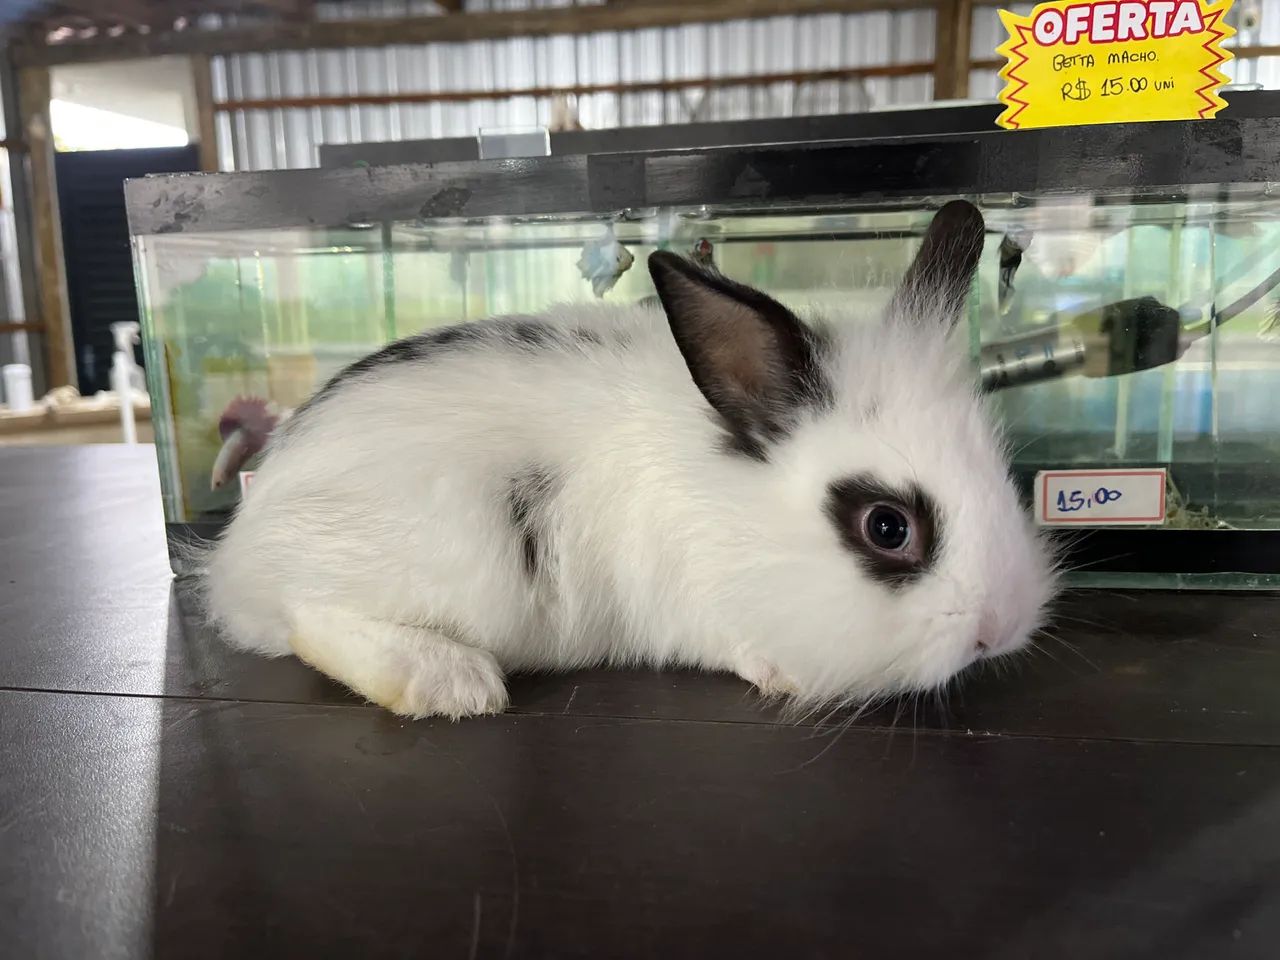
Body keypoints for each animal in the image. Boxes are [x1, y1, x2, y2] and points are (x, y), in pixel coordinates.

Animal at [194, 199, 1057, 720]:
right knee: (312, 617)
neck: (735, 511)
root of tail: (239, 555)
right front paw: (782, 672)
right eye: (887, 526)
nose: (1002, 628)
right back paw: (450, 682)